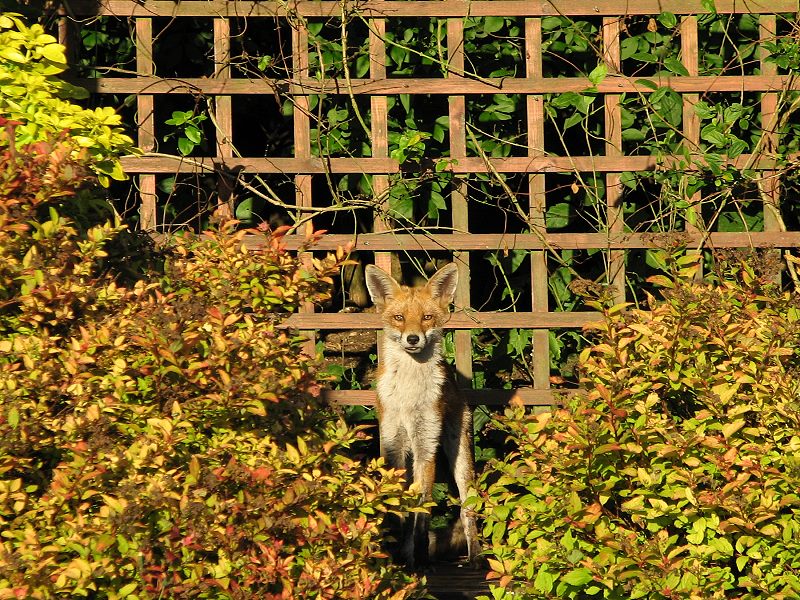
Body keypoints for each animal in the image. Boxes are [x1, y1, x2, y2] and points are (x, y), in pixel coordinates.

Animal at [365, 262, 481, 568]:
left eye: (427, 317)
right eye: (399, 318)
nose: (413, 338)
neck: (408, 396)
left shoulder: (425, 446)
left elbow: (423, 513)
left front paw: (420, 559)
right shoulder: (393, 445)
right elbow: (400, 510)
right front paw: (398, 557)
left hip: (460, 457)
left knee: (467, 511)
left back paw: (475, 558)